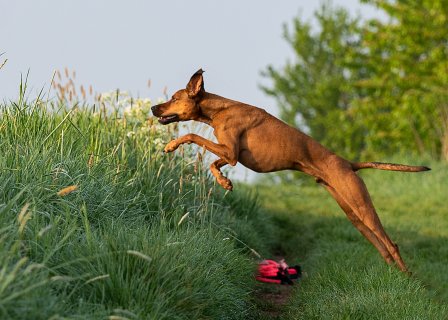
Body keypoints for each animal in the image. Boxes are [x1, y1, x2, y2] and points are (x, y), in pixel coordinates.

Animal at [153, 69, 430, 272]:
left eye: (174, 98)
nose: (154, 108)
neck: (219, 109)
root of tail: (349, 163)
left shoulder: (231, 153)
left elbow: (192, 136)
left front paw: (171, 145)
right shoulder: (230, 156)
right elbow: (213, 163)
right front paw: (224, 182)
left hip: (362, 206)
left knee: (392, 244)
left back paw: (408, 279)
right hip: (352, 214)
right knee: (382, 247)